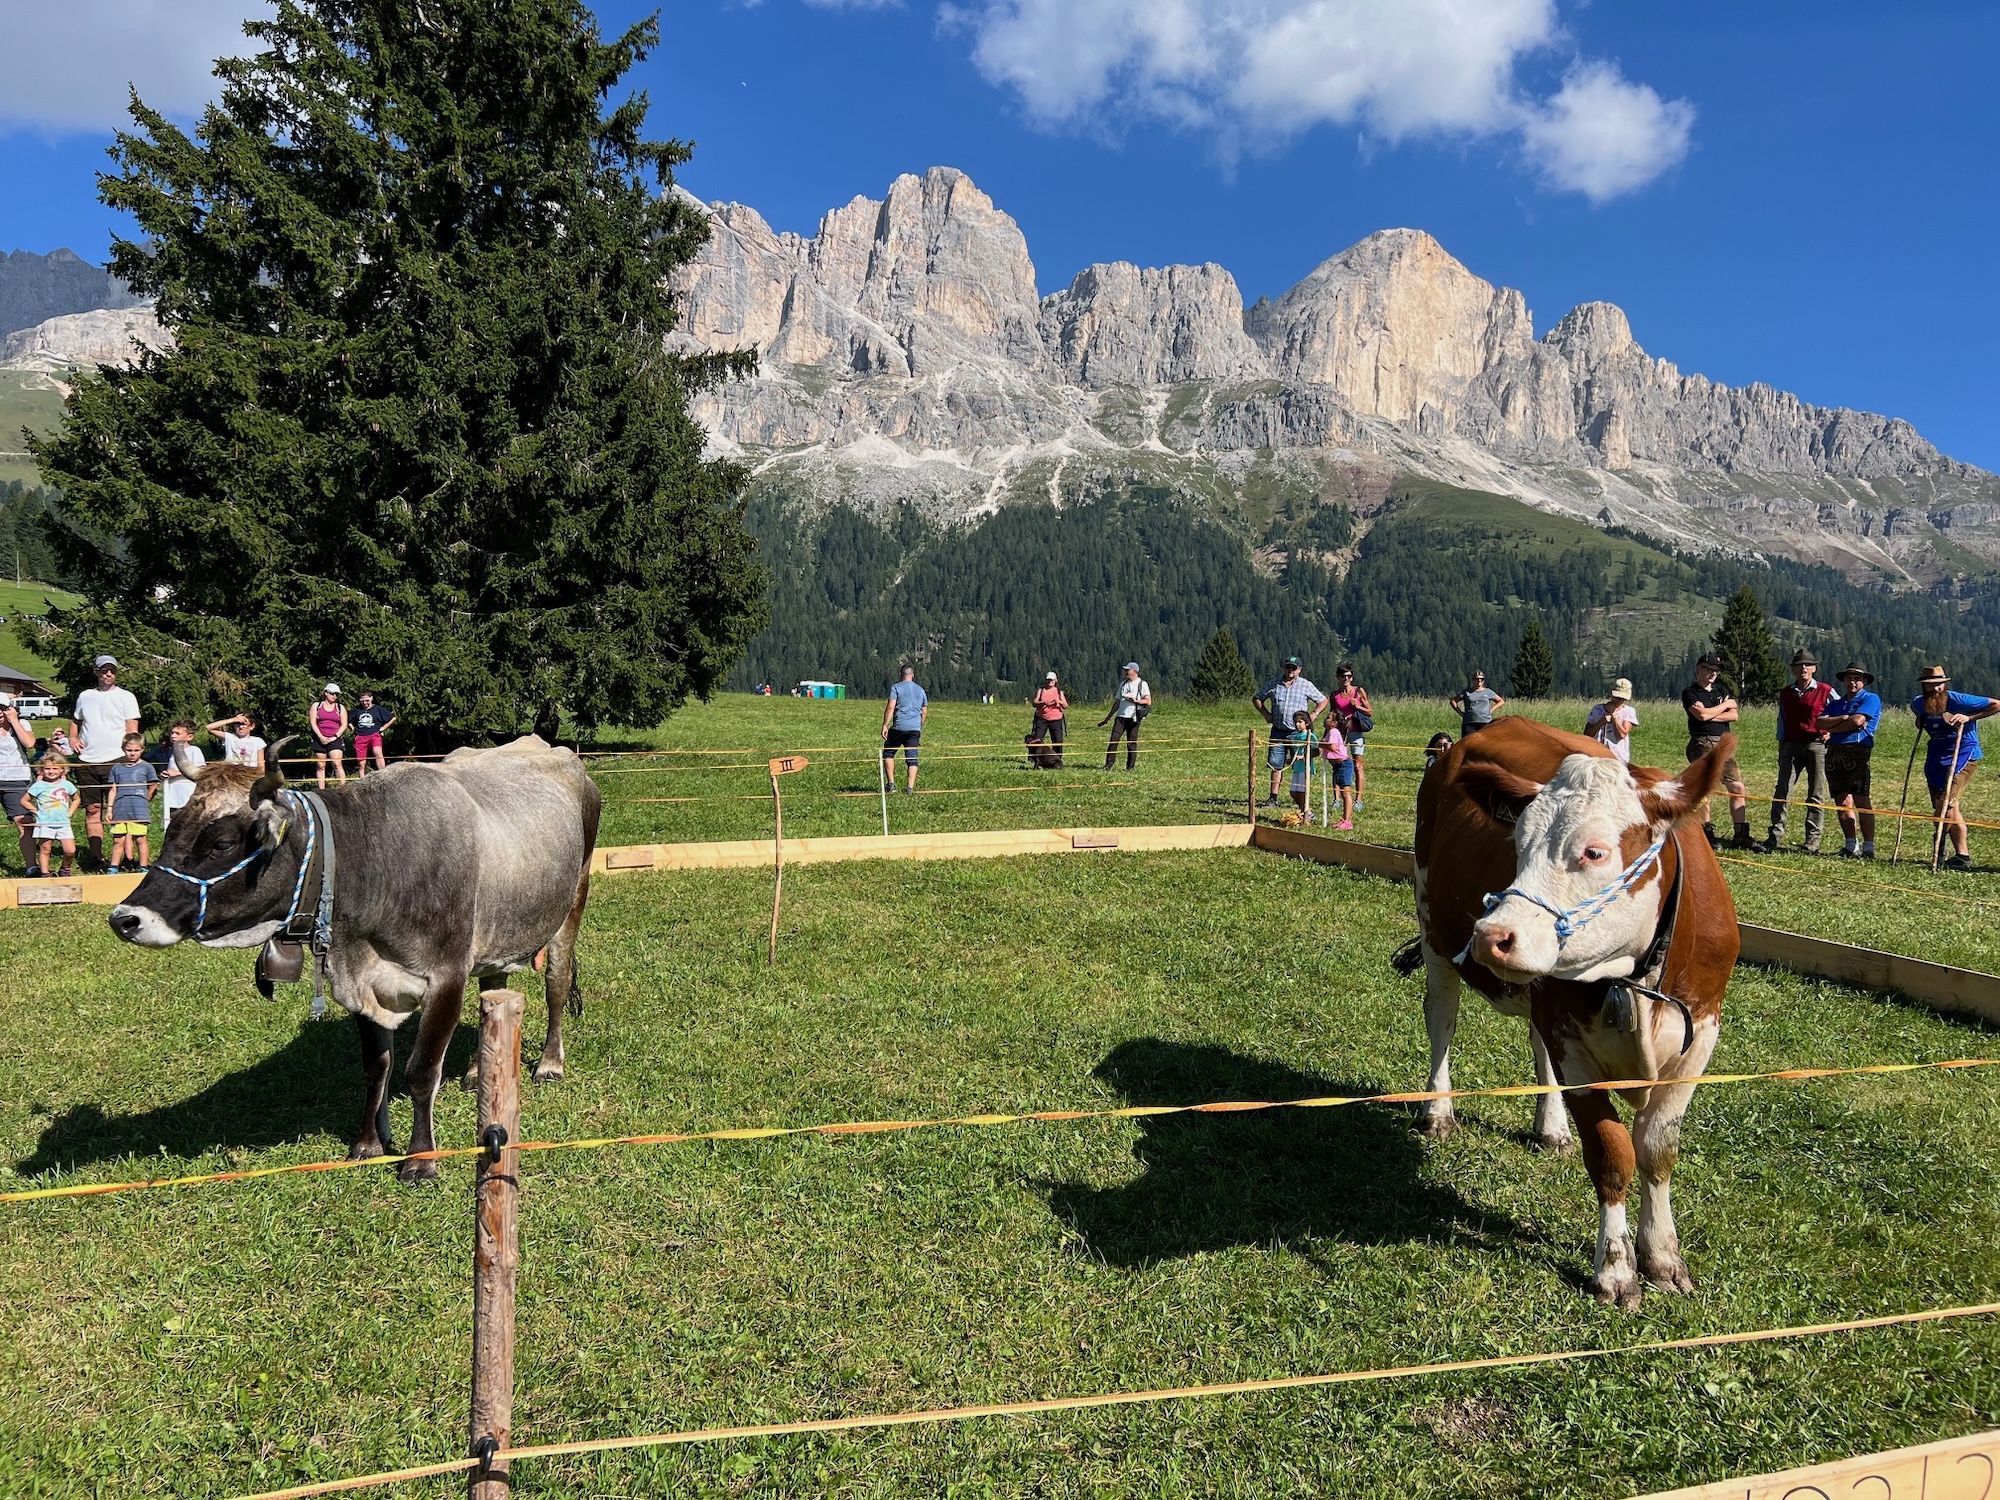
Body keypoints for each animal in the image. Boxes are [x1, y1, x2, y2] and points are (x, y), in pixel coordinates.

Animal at [108, 736, 596, 1184]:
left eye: (223, 843)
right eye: (172, 828)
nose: (126, 919)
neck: (372, 859)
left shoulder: (446, 975)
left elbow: (421, 1071)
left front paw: (421, 1159)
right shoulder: (362, 984)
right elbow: (376, 1067)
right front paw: (368, 1143)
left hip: (572, 902)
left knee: (555, 986)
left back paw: (550, 1064)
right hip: (496, 930)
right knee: (493, 987)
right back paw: (479, 1071)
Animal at [1408, 720, 1736, 1312]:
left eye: (1594, 851)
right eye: (1517, 846)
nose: (1491, 935)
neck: (1638, 974)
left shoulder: (1700, 1038)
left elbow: (1657, 1151)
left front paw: (1663, 1256)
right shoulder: (1577, 1050)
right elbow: (1611, 1154)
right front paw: (1616, 1270)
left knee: (1534, 1041)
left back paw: (1551, 1127)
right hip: (1433, 933)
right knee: (1441, 1018)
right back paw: (1439, 1111)